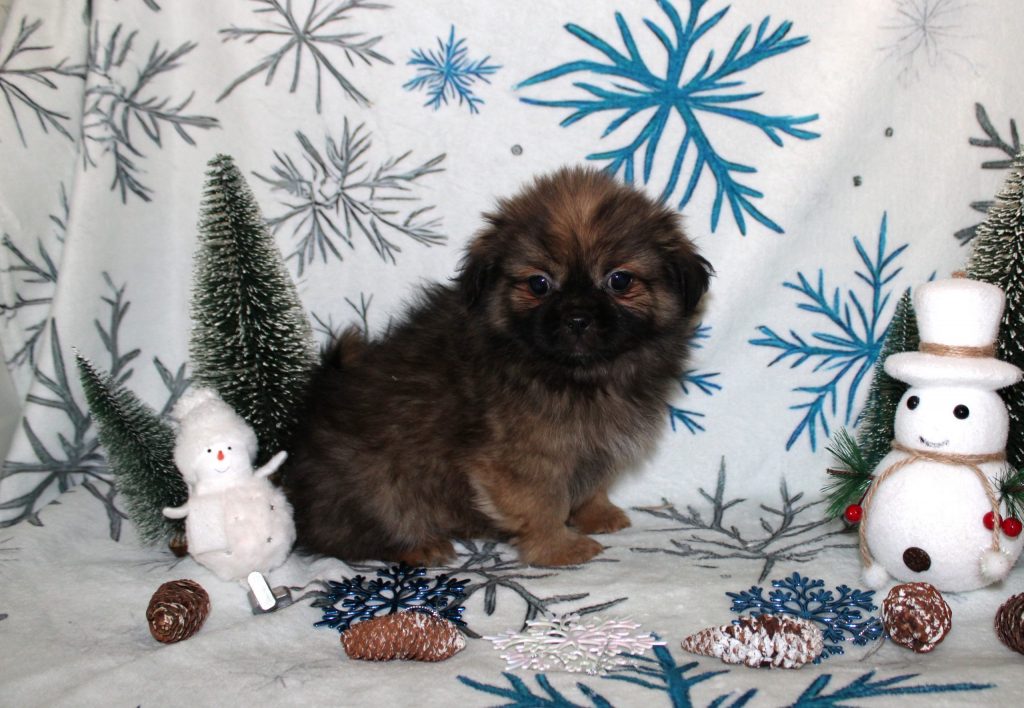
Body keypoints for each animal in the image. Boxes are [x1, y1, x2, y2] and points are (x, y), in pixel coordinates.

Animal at [284, 166, 712, 567]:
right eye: (539, 284)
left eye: (619, 280)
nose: (577, 318)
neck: (581, 374)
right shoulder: (523, 459)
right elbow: (542, 503)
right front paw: (559, 548)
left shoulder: (590, 446)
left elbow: (591, 485)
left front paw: (598, 514)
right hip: (381, 488)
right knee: (352, 536)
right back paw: (420, 545)